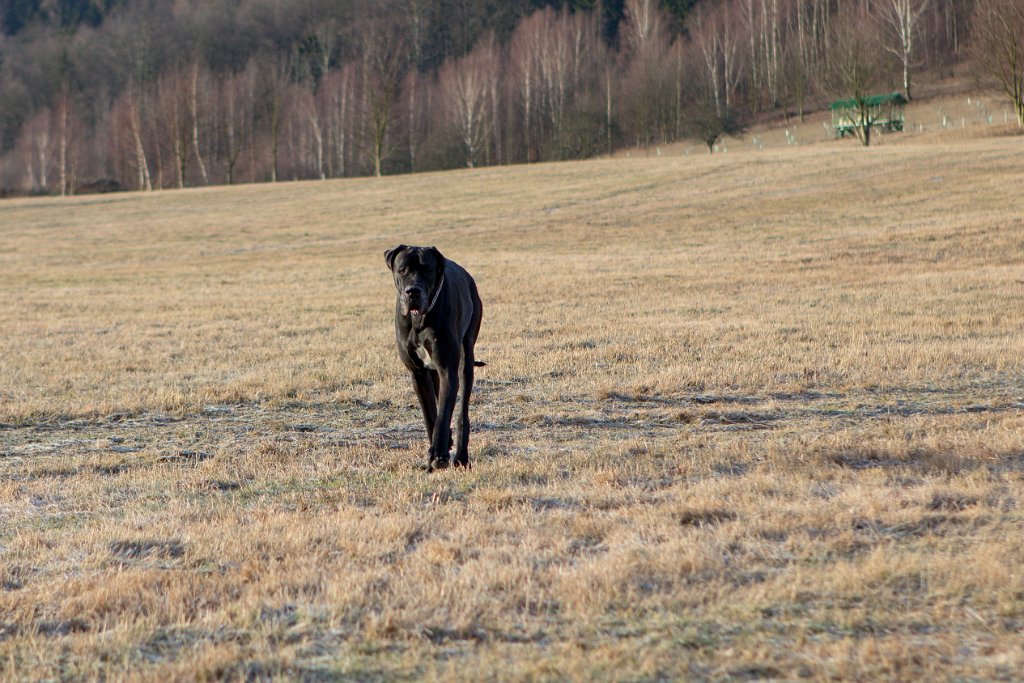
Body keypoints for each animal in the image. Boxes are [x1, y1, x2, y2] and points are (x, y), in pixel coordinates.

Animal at [385, 244, 483, 471]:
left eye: (427, 270)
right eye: (402, 270)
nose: (413, 291)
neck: (419, 319)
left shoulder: (448, 370)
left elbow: (443, 413)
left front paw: (438, 455)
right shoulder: (418, 374)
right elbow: (431, 414)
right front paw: (436, 451)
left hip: (466, 358)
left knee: (462, 411)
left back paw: (461, 456)